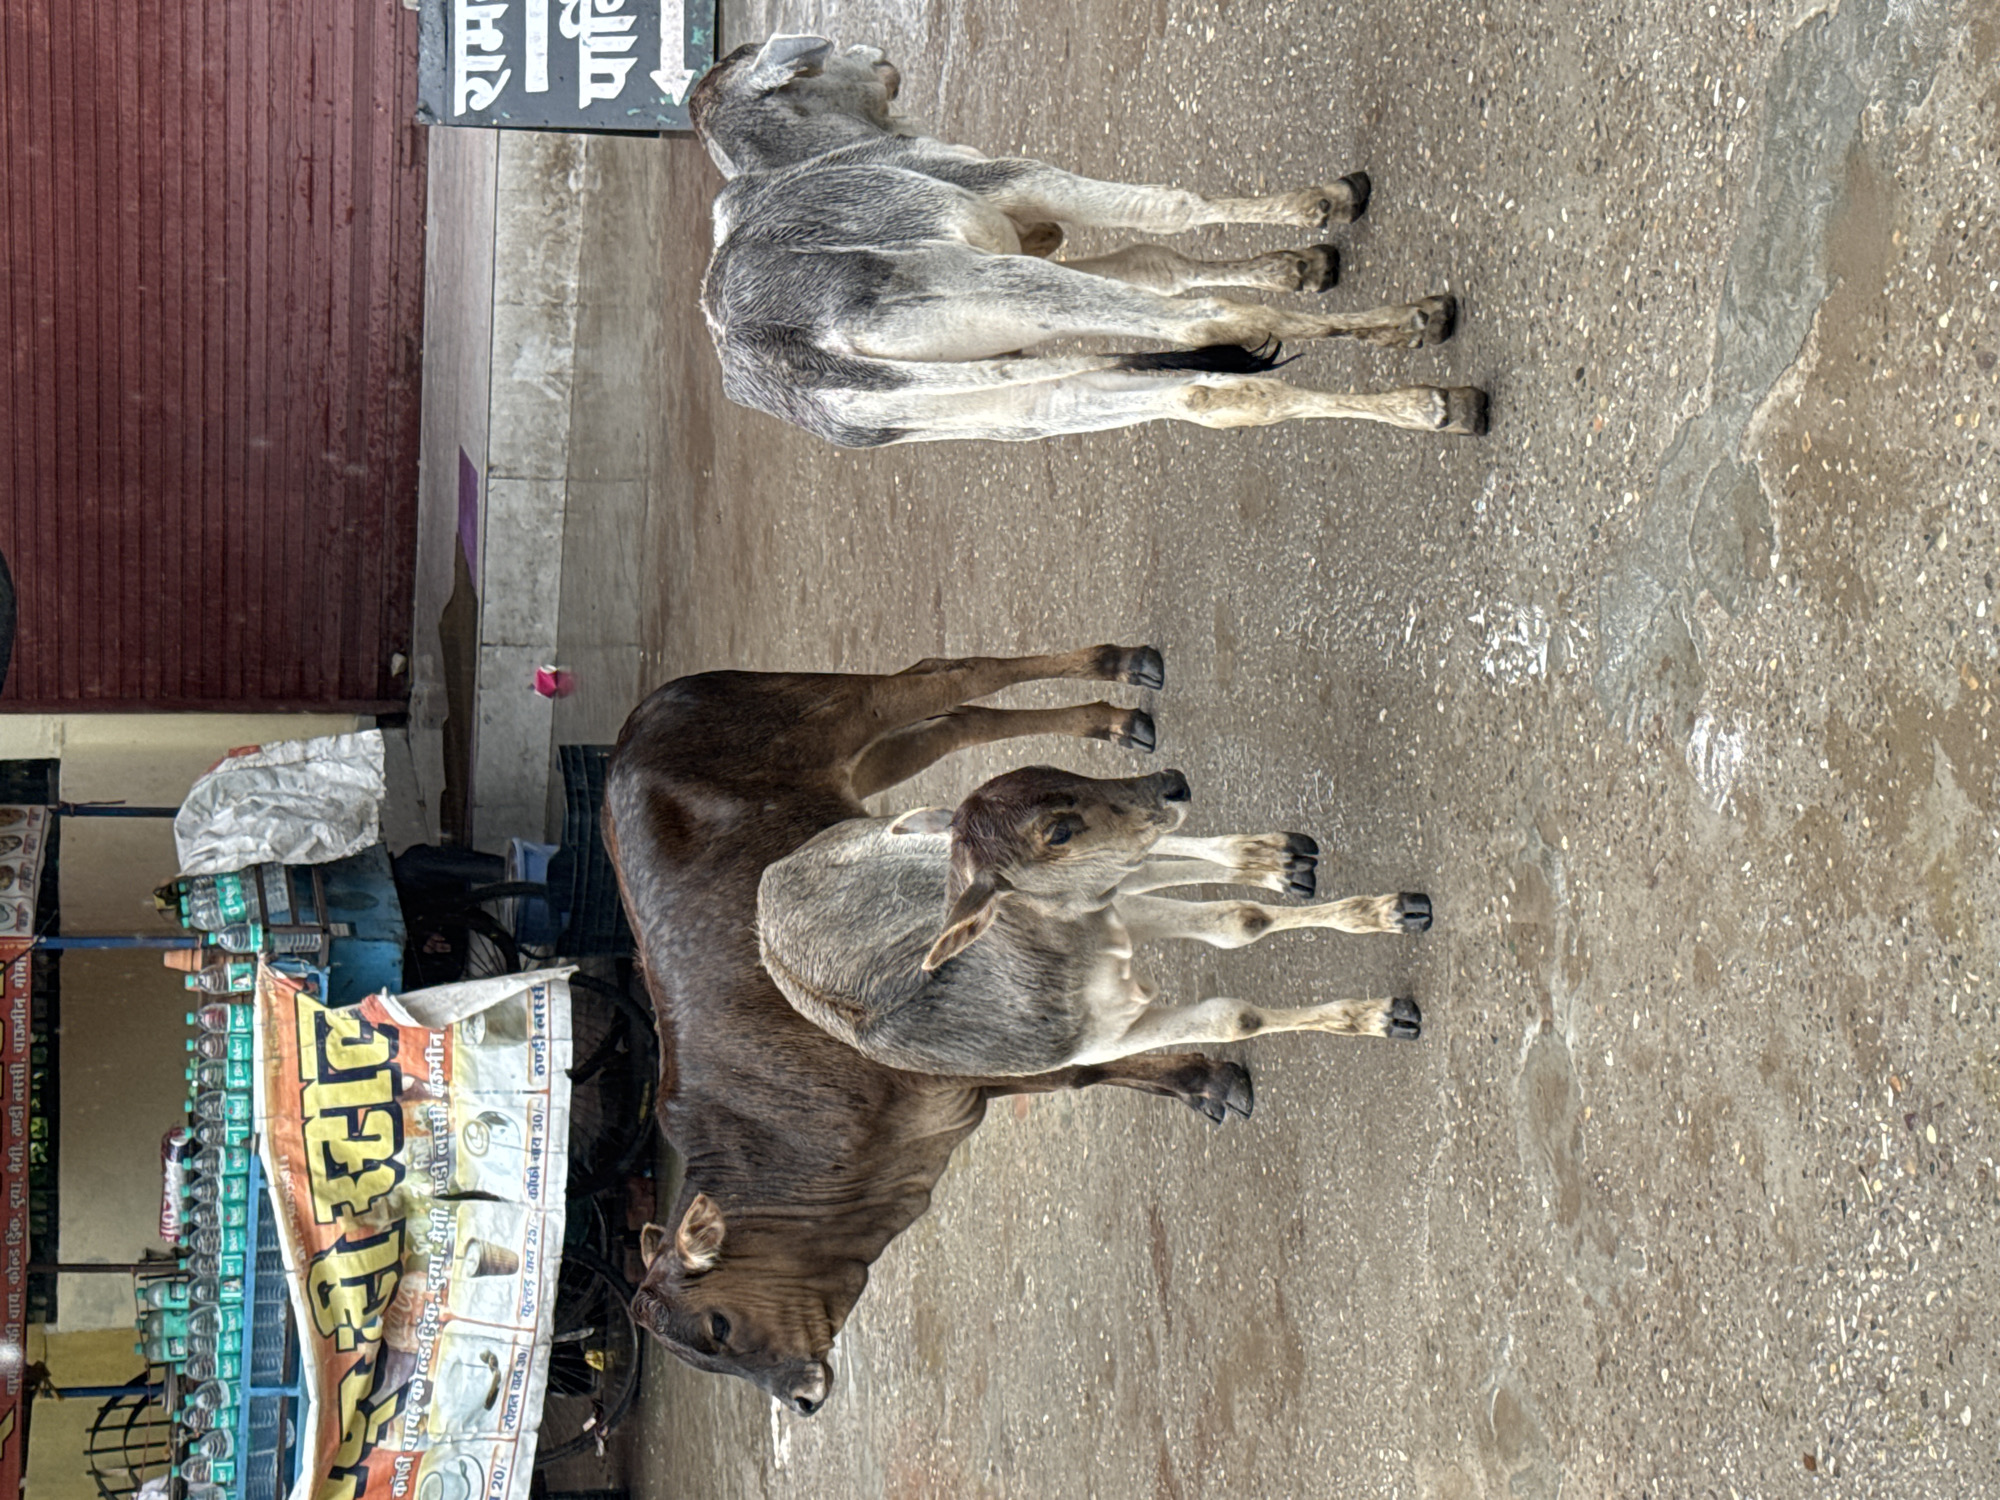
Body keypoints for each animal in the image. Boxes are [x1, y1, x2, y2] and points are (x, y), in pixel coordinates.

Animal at [612, 648, 1290, 1415]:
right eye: (701, 1359)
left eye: (717, 1328)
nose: (800, 1398)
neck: (784, 1146)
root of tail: (640, 722)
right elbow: (1093, 1065)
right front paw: (1203, 1084)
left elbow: (1087, 1066)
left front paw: (1207, 1078)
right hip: (877, 762)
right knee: (960, 721)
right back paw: (1115, 724)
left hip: (844, 713)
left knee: (950, 674)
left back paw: (1122, 675)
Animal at [690, 35, 1490, 447]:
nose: (872, 46)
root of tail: (781, 351)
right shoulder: (1020, 181)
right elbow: (1171, 215)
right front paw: (1320, 209)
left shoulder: (1030, 238)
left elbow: (1154, 263)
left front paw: (1299, 262)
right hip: (1006, 290)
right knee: (1210, 325)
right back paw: (1419, 334)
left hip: (1005, 402)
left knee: (1205, 390)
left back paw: (1432, 401)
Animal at [756, 764, 1427, 1079]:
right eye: (1058, 830)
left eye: (1060, 771)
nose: (1170, 782)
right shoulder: (1101, 1039)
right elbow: (1233, 1012)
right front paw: (1385, 1015)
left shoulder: (1106, 910)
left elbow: (1239, 920)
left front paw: (1393, 910)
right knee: (1150, 864)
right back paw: (1278, 861)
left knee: (1155, 860)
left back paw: (1277, 855)